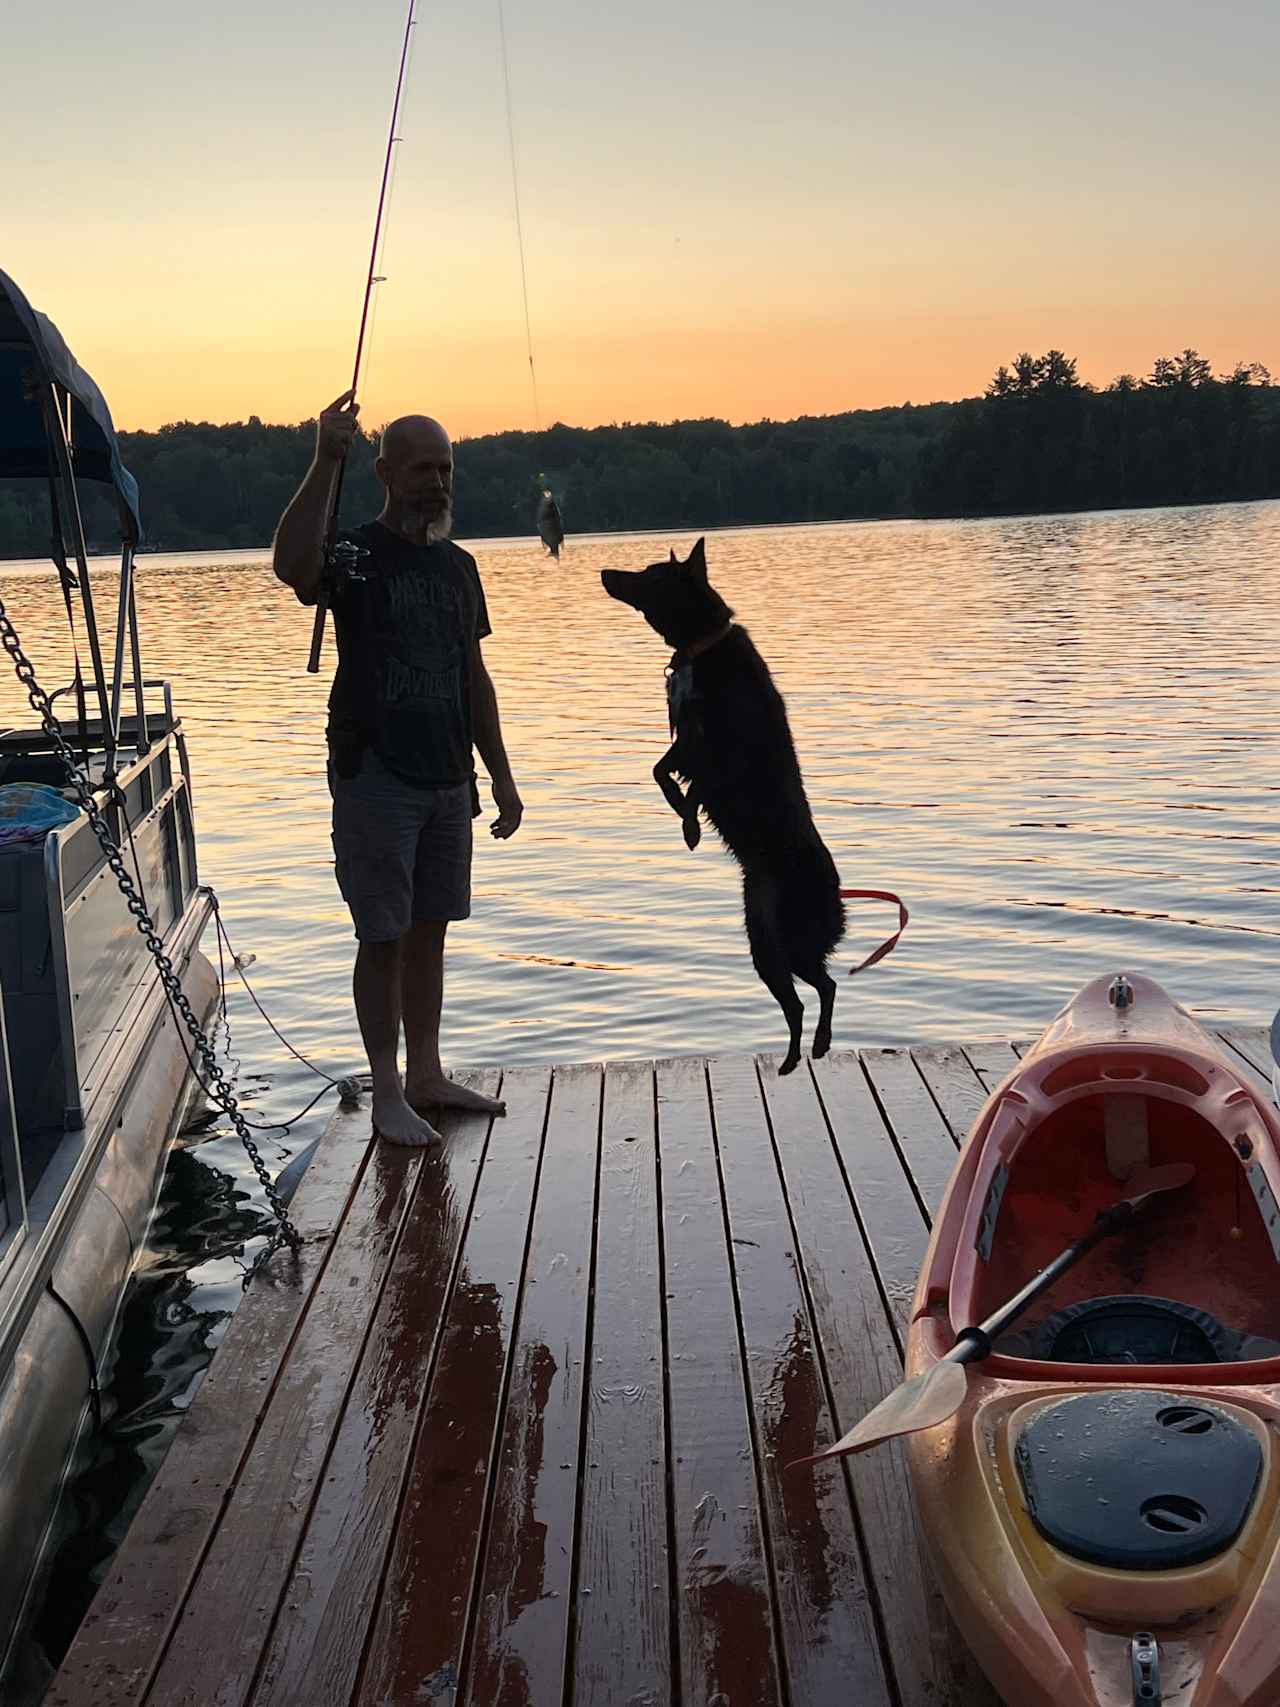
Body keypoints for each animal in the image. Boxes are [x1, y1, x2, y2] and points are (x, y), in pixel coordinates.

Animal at [604, 539, 846, 1071]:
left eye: (649, 574)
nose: (605, 571)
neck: (701, 647)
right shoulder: (687, 742)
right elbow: (659, 772)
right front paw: (686, 820)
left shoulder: (720, 750)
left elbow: (691, 785)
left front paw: (690, 824)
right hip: (766, 947)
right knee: (802, 999)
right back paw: (793, 1057)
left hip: (790, 943)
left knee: (825, 987)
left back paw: (818, 1044)